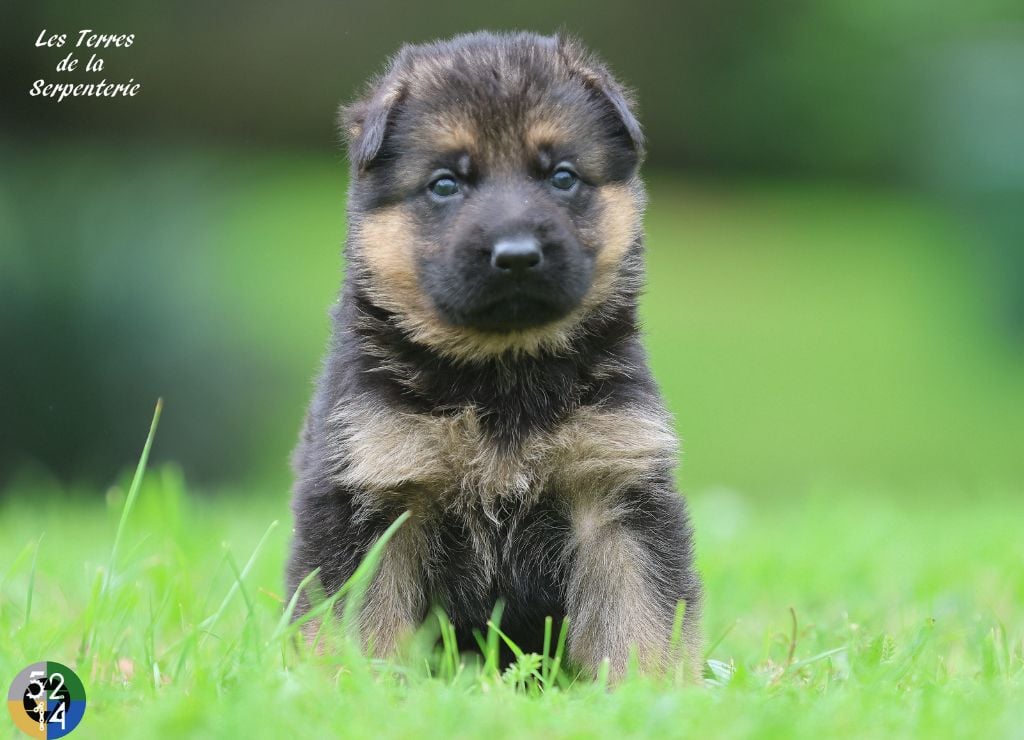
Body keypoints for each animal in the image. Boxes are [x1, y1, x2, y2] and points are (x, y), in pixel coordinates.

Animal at [288, 30, 704, 675]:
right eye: (445, 183)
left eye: (561, 177)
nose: (516, 255)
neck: (502, 372)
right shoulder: (370, 493)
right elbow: (359, 623)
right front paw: (352, 685)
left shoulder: (616, 490)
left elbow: (642, 614)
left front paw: (651, 688)